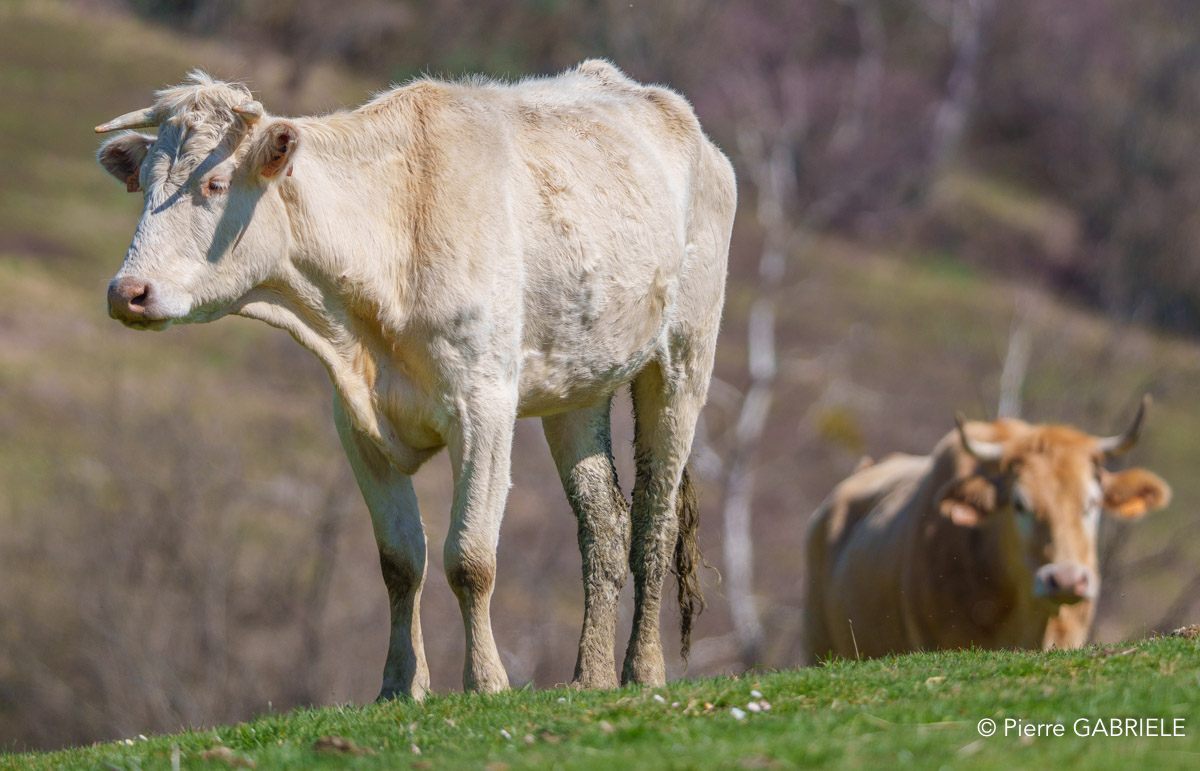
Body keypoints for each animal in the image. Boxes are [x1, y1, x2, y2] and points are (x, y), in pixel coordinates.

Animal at [93, 61, 736, 699]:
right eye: (144, 184)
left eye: (215, 183)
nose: (127, 292)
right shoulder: (355, 425)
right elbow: (401, 561)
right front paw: (400, 686)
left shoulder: (484, 409)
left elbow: (470, 559)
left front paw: (485, 681)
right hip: (578, 386)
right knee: (604, 523)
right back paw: (590, 677)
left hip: (683, 359)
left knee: (654, 521)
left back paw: (643, 670)